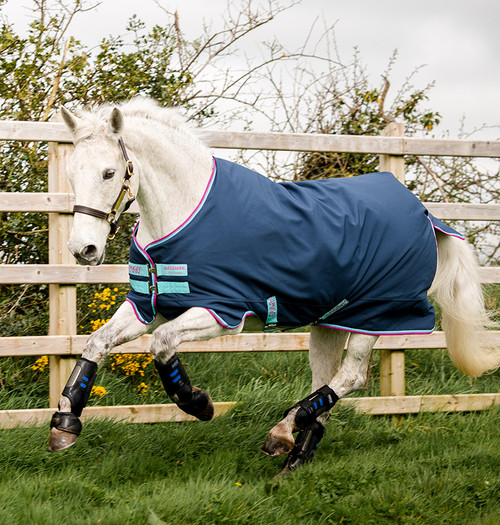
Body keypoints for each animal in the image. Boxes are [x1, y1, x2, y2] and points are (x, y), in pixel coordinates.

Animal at [48, 98, 498, 474]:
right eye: (71, 173)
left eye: (109, 172)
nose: (83, 249)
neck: (184, 213)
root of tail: (425, 215)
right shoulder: (148, 305)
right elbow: (96, 343)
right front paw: (64, 424)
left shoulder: (222, 312)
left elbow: (161, 345)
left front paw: (199, 404)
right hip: (330, 322)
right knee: (327, 380)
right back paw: (296, 453)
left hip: (377, 316)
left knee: (351, 377)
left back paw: (282, 431)